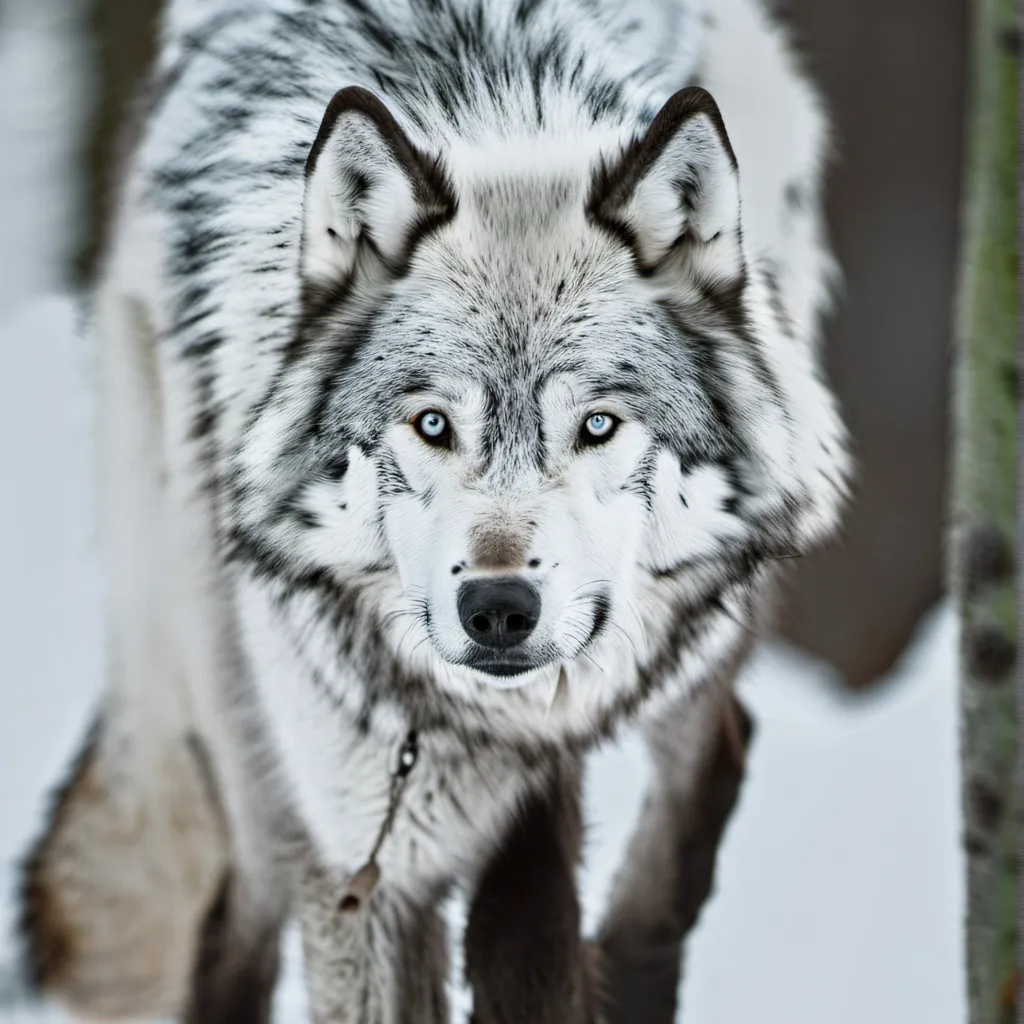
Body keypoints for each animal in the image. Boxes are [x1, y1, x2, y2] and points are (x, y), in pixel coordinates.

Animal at [16, 0, 850, 1021]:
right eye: (432, 424)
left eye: (598, 425)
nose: (496, 609)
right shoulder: (360, 858)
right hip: (218, 696)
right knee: (233, 917)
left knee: (714, 756)